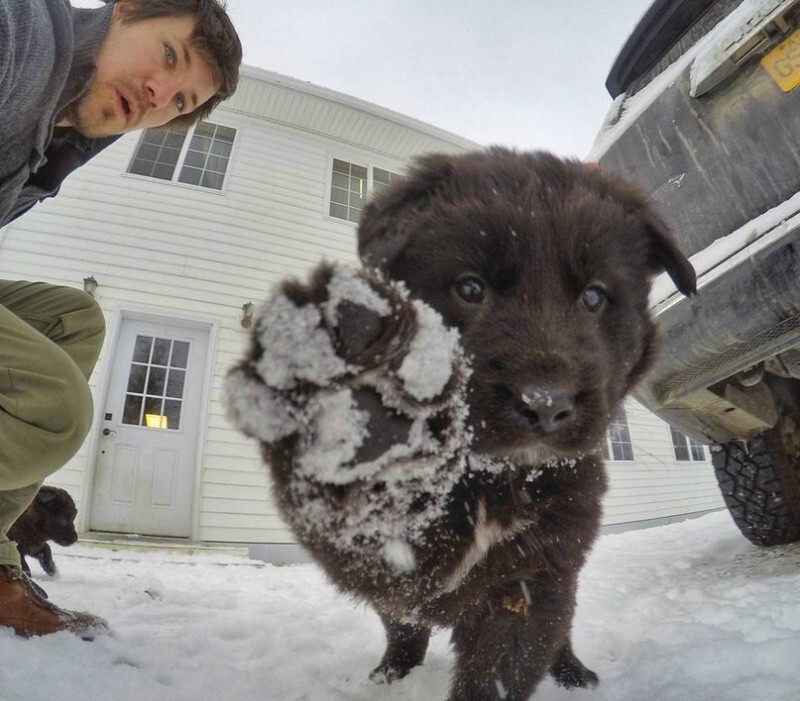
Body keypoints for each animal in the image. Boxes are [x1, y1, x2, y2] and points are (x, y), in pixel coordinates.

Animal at [225, 149, 692, 700]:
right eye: (470, 288)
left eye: (595, 297)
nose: (546, 403)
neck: (488, 477)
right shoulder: (368, 541)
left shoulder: (538, 571)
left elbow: (501, 670)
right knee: (403, 624)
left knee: (559, 631)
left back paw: (575, 675)